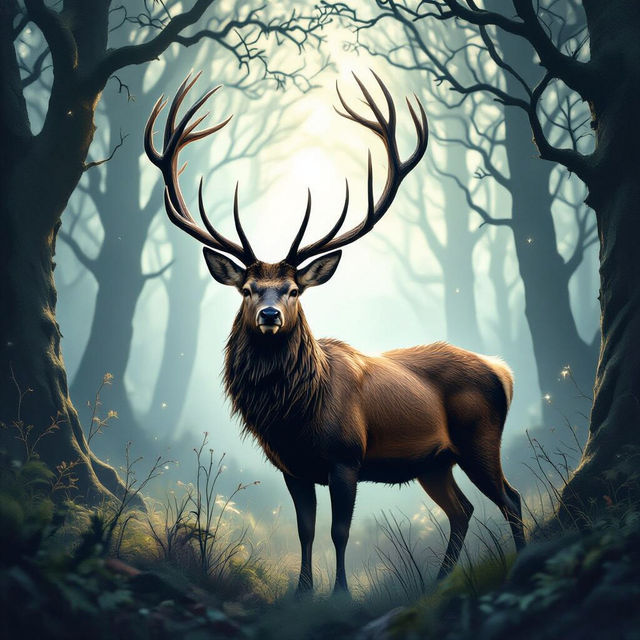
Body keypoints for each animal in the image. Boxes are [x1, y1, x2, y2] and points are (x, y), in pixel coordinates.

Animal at [144, 71, 526, 594]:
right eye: (248, 289)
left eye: (292, 290)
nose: (269, 315)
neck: (296, 413)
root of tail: (502, 370)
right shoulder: (292, 467)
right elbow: (305, 530)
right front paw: (303, 591)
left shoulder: (347, 458)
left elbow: (339, 531)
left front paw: (341, 592)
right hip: (433, 461)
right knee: (463, 509)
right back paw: (439, 581)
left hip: (479, 439)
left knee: (510, 498)